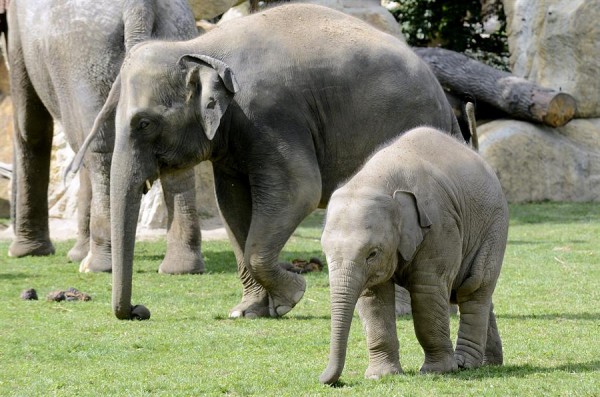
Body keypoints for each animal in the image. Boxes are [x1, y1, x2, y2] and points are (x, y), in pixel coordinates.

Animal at [7, 0, 204, 274]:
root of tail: (139, 8)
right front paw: (74, 254)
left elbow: (31, 125)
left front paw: (25, 253)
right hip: (176, 40)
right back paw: (180, 268)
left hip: (88, 65)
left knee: (101, 152)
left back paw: (96, 266)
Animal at [75, 3, 466, 318]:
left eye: (144, 123)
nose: (139, 310)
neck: (200, 48)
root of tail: (445, 103)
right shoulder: (233, 138)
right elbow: (232, 204)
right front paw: (248, 312)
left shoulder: (270, 114)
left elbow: (300, 190)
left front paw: (293, 294)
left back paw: (399, 312)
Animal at [318, 126, 506, 384]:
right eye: (325, 251)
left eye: (372, 253)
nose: (326, 380)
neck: (375, 181)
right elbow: (373, 298)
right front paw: (380, 376)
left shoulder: (439, 225)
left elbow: (427, 290)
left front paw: (438, 371)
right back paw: (491, 363)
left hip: (494, 227)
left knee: (474, 288)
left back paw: (465, 364)